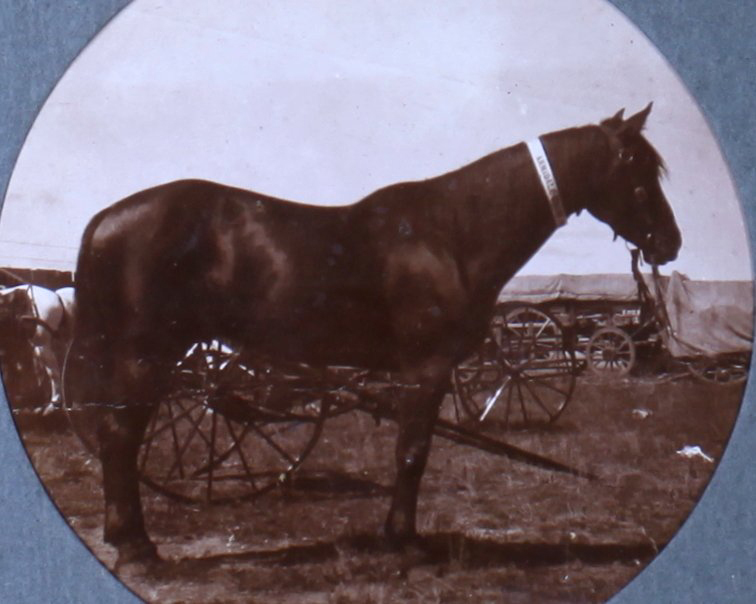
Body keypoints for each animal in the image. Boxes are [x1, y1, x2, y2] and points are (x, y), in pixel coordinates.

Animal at [68, 104, 680, 566]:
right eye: (637, 169)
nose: (670, 243)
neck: (452, 231)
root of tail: (106, 218)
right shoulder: (425, 369)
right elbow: (412, 453)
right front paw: (404, 543)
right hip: (148, 355)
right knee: (120, 436)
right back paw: (137, 546)